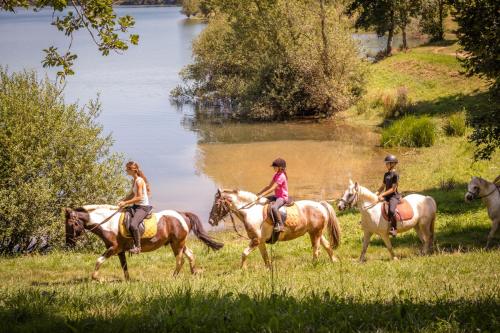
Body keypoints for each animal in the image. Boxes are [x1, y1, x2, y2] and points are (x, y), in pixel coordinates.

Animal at [64, 204, 223, 278]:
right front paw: (127, 281)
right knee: (190, 255)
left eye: (70, 224)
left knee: (180, 259)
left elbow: (98, 261)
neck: (108, 223)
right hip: (178, 242)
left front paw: (97, 278)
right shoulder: (120, 251)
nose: (68, 244)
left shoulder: (113, 249)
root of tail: (182, 214)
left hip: (177, 244)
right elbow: (124, 267)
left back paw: (173, 276)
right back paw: (194, 272)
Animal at [206, 188, 340, 268]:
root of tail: (320, 205)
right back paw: (334, 261)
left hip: (315, 233)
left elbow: (244, 253)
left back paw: (314, 264)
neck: (251, 211)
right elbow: (265, 256)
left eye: (216, 204)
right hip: (316, 232)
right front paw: (268, 270)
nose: (210, 221)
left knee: (316, 249)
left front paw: (243, 269)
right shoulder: (260, 242)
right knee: (327, 245)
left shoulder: (255, 240)